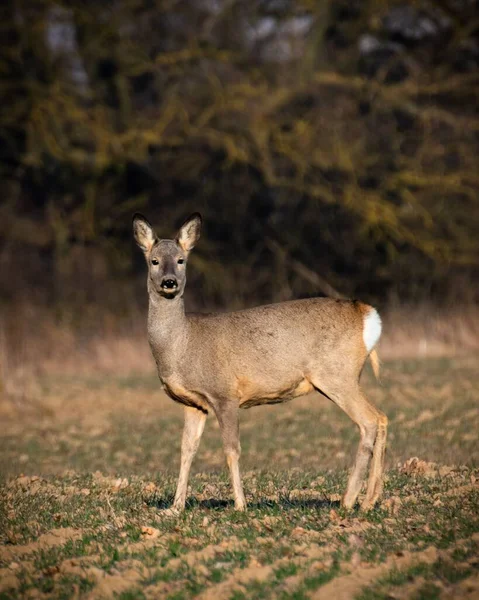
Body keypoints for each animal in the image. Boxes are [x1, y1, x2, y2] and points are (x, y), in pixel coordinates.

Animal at [133, 211, 388, 510]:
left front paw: (240, 505)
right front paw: (175, 508)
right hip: (340, 378)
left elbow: (231, 449)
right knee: (381, 418)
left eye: (181, 260)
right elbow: (187, 449)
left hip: (337, 374)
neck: (181, 345)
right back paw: (370, 499)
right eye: (154, 261)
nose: (169, 282)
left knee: (369, 420)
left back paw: (350, 500)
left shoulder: (224, 394)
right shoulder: (194, 403)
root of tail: (366, 313)